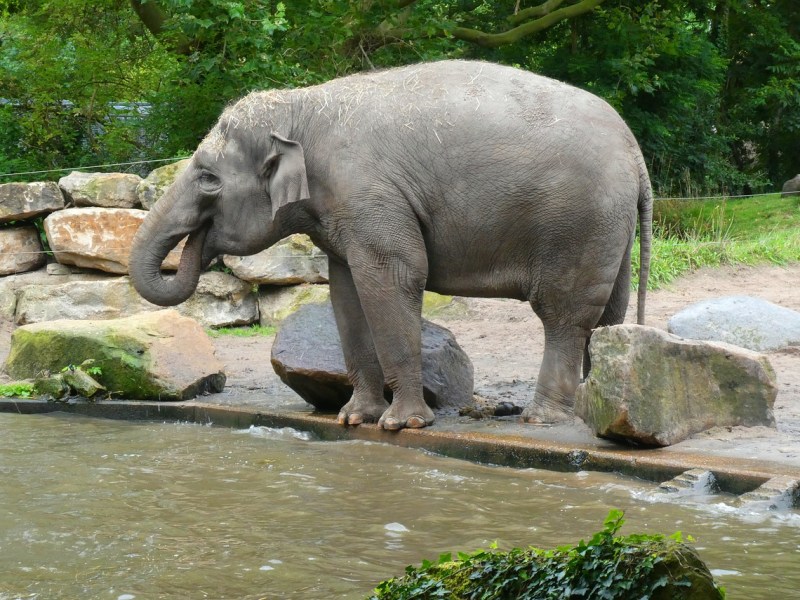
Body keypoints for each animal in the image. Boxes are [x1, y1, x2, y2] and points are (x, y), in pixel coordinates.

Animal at [126, 61, 648, 432]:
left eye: (207, 178)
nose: (198, 244)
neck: (302, 107)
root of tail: (634, 150)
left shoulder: (369, 195)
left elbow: (395, 275)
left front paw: (403, 424)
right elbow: (345, 291)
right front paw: (355, 418)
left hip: (577, 221)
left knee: (563, 312)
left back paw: (543, 419)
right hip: (609, 227)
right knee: (610, 312)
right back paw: (592, 410)